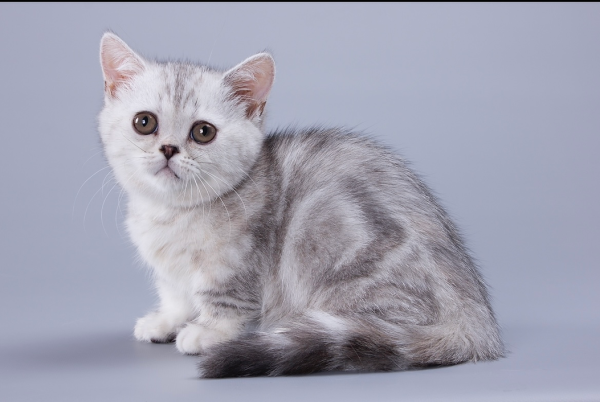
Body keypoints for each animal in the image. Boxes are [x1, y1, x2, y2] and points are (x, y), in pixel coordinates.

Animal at [97, 33, 502, 378]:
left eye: (203, 132)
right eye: (144, 122)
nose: (168, 149)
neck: (171, 215)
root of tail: (478, 322)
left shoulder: (235, 265)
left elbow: (225, 302)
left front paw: (207, 332)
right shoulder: (171, 274)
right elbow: (174, 295)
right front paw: (165, 320)